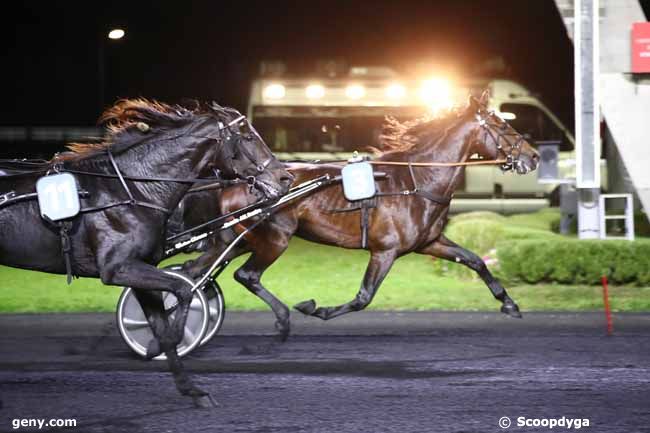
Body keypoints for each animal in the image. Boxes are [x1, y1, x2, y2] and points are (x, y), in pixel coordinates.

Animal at [0, 98, 292, 404]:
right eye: (247, 136)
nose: (285, 177)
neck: (131, 189)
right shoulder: (118, 268)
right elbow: (184, 290)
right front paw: (162, 344)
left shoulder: (139, 268)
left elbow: (163, 321)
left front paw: (192, 389)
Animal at [181, 93, 536, 340]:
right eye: (503, 125)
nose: (532, 156)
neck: (418, 181)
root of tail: (236, 180)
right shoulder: (385, 251)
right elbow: (364, 297)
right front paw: (316, 308)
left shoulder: (430, 242)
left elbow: (475, 260)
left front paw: (509, 304)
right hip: (275, 238)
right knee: (245, 275)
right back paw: (281, 319)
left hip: (240, 239)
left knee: (194, 272)